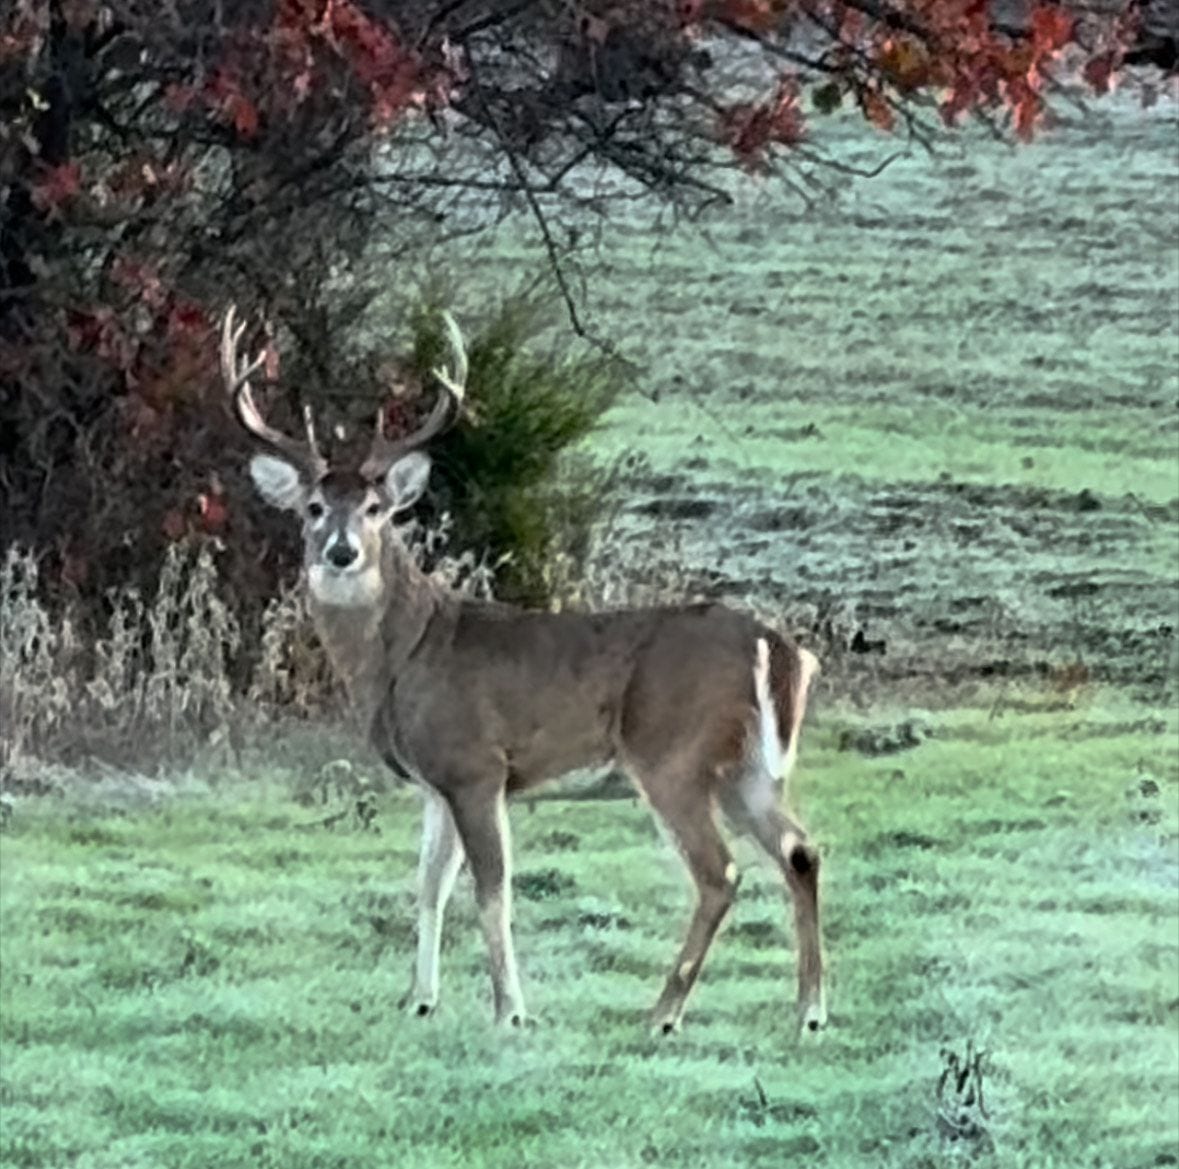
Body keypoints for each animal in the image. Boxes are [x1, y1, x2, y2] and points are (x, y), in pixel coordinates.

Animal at [220, 304, 826, 1035]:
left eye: (375, 509)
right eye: (313, 507)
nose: (341, 552)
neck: (407, 653)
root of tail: (777, 647)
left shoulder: (478, 765)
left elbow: (491, 888)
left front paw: (510, 1009)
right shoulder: (437, 782)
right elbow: (429, 884)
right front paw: (418, 999)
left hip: (673, 756)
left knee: (721, 873)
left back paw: (664, 1011)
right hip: (749, 770)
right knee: (800, 850)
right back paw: (809, 1010)